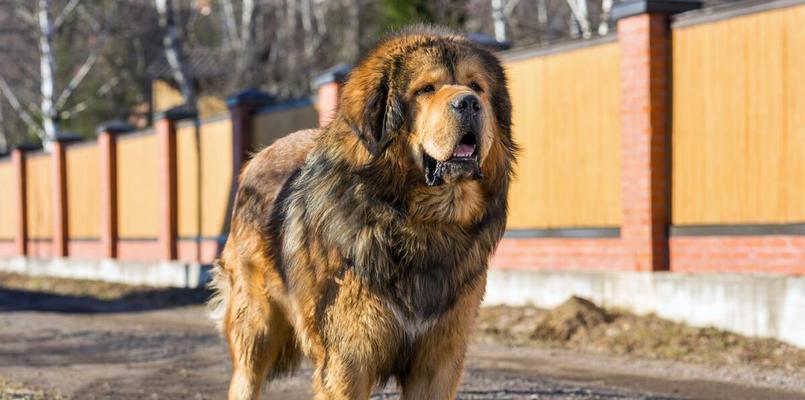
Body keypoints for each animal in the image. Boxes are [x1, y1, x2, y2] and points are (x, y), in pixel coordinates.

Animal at [209, 26, 516, 398]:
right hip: (255, 328)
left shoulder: (438, 361)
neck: (423, 224)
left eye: (477, 87)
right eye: (426, 89)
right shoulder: (349, 360)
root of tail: (257, 158)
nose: (469, 102)